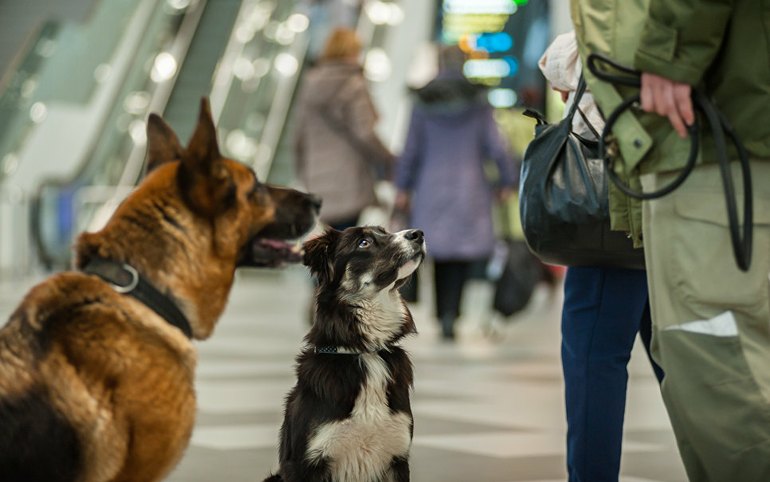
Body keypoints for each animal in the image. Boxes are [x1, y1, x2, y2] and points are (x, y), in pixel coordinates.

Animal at [266, 226, 424, 482]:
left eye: (384, 231)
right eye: (363, 242)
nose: (418, 234)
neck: (365, 351)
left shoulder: (397, 457)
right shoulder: (306, 462)